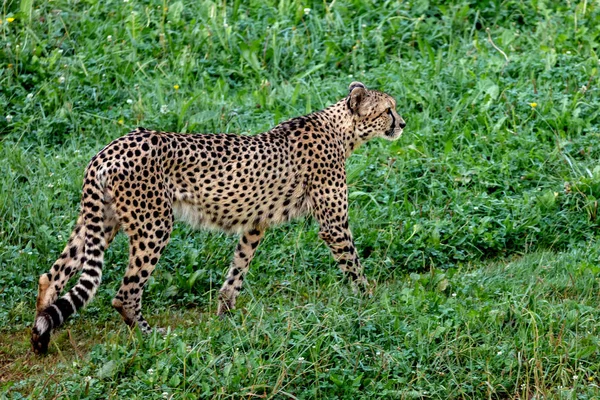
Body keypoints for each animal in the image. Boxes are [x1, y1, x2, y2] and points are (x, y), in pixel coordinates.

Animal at [32, 81, 408, 354]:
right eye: (388, 110)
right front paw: (369, 302)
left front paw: (225, 311)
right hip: (154, 224)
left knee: (51, 276)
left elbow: (239, 266)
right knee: (125, 293)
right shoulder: (333, 224)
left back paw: (40, 338)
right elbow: (353, 263)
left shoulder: (255, 223)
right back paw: (151, 335)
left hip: (99, 222)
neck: (341, 130)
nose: (403, 123)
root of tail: (109, 148)